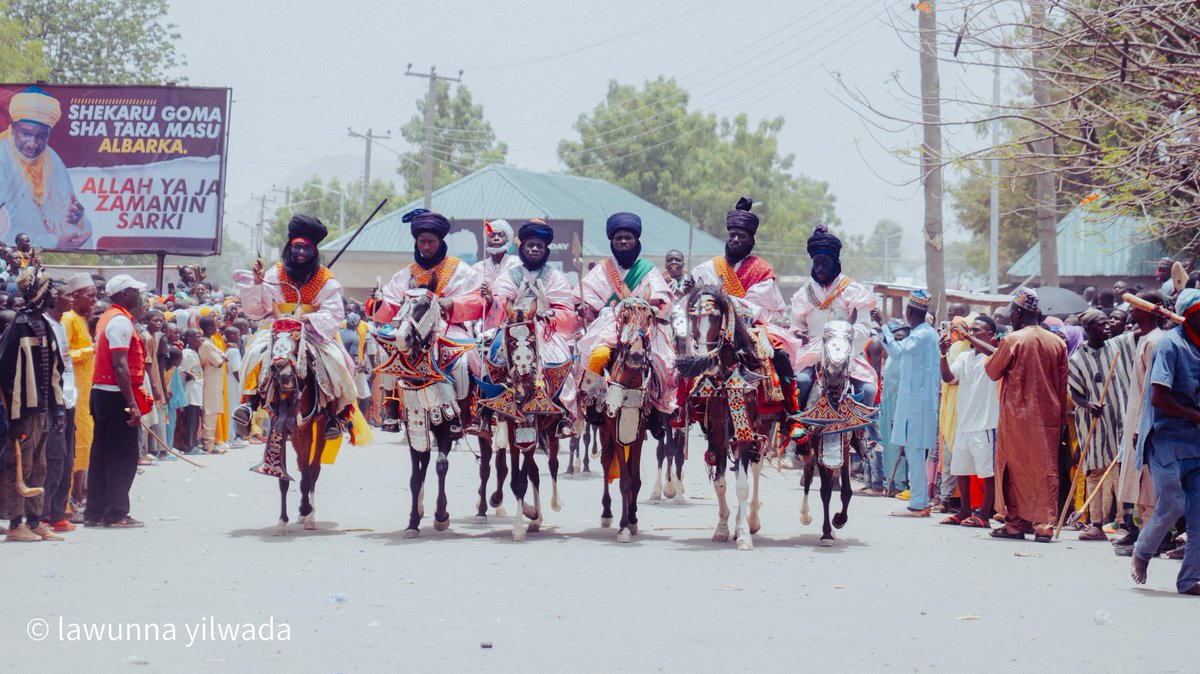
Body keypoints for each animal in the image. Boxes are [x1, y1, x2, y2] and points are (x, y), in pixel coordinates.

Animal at [372, 277, 475, 534]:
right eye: (401, 303)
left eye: (425, 306)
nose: (402, 338)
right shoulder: (415, 425)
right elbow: (416, 476)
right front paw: (413, 521)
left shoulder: (446, 425)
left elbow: (441, 464)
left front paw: (441, 515)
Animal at [475, 280, 573, 537]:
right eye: (510, 344)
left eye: (532, 342)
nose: (522, 391)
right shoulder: (513, 429)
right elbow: (515, 477)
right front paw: (522, 517)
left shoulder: (532, 428)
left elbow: (521, 478)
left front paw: (519, 526)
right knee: (535, 473)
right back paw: (536, 519)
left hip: (551, 431)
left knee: (552, 465)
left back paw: (553, 504)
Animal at [578, 296, 657, 542]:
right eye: (623, 318)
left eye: (649, 318)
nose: (636, 356)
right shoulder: (615, 431)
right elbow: (624, 481)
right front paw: (623, 527)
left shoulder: (638, 434)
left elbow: (635, 480)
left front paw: (632, 518)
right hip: (604, 430)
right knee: (605, 463)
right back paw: (606, 513)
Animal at [676, 285, 787, 549]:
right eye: (693, 317)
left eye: (717, 317)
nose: (705, 362)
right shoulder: (716, 434)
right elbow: (720, 483)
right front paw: (723, 528)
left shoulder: (746, 432)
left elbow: (743, 486)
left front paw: (744, 534)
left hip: (761, 431)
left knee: (754, 469)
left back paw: (751, 521)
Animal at [796, 316, 873, 542]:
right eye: (825, 337)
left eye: (850, 338)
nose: (835, 373)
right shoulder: (817, 442)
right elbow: (825, 490)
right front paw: (826, 532)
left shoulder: (845, 445)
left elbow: (845, 490)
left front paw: (839, 520)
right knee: (809, 474)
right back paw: (805, 515)